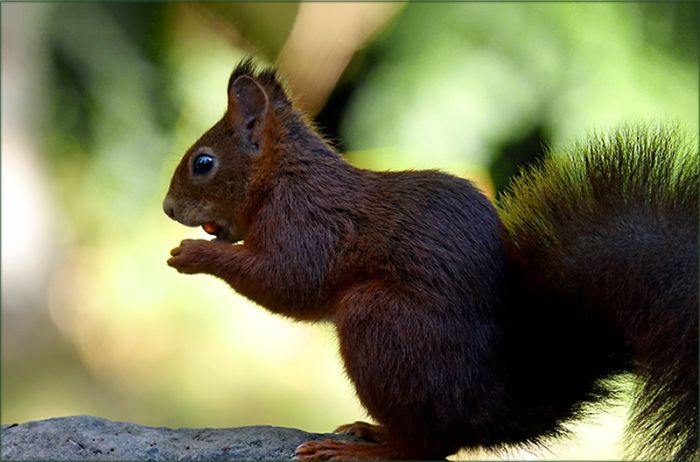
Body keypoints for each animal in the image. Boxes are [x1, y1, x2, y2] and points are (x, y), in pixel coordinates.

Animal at [163, 59, 698, 461]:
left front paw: (195, 254)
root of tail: (492, 405)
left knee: (429, 446)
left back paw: (366, 452)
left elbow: (289, 282)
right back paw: (371, 431)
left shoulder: (308, 224)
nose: (168, 209)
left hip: (380, 323)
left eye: (203, 163)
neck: (283, 176)